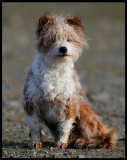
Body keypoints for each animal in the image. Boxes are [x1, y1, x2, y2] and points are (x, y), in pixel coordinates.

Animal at [22, 14, 117, 149]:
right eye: (52, 39)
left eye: (69, 40)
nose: (63, 48)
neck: (55, 67)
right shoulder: (31, 103)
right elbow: (35, 126)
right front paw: (35, 142)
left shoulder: (69, 104)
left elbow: (64, 126)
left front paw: (62, 142)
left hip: (84, 114)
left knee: (101, 138)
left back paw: (86, 142)